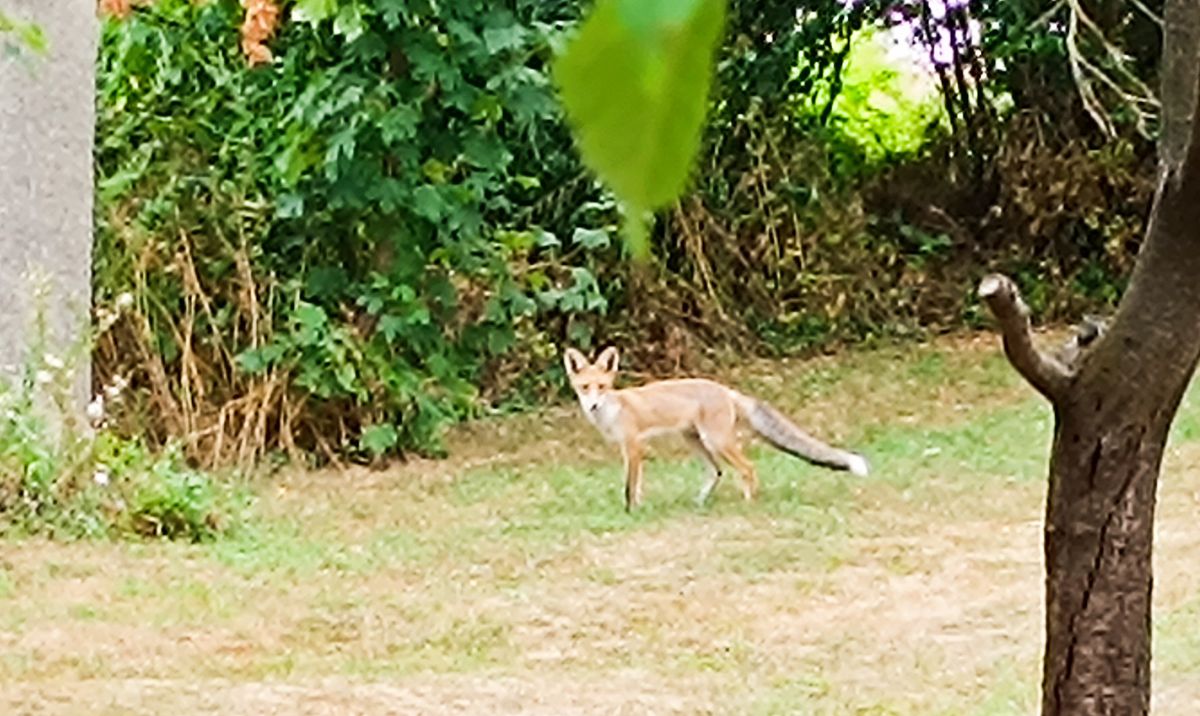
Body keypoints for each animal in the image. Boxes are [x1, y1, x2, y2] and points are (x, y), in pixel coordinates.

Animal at [566, 345, 868, 508]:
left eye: (602, 387)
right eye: (585, 388)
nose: (593, 406)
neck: (613, 411)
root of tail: (726, 389)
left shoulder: (635, 446)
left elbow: (630, 487)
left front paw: (632, 511)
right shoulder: (626, 449)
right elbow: (632, 485)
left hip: (716, 441)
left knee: (747, 468)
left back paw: (748, 503)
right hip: (694, 440)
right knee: (717, 471)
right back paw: (699, 504)